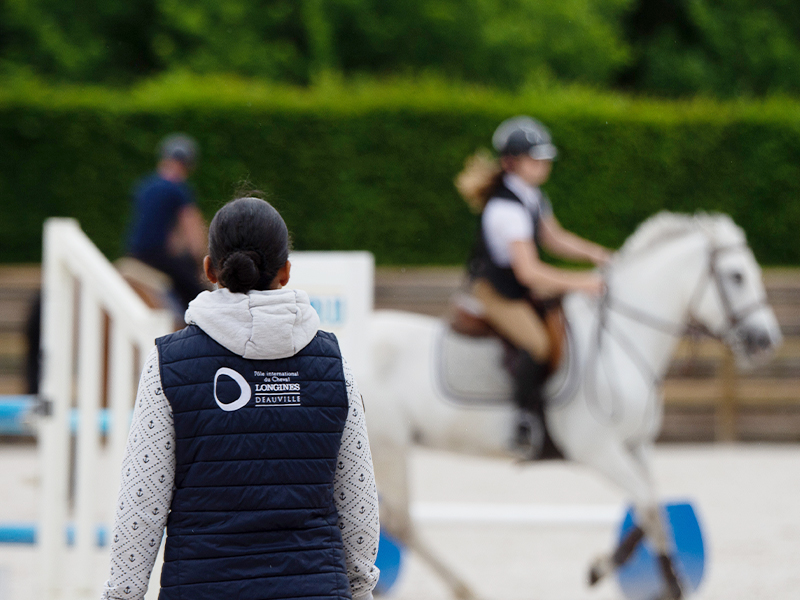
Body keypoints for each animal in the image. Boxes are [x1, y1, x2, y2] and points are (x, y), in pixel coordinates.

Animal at [366, 213, 784, 596]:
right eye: (736, 276)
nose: (766, 340)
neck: (620, 342)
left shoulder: (636, 446)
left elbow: (653, 506)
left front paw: (608, 569)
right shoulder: (598, 451)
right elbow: (649, 506)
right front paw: (664, 585)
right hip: (389, 448)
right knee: (400, 522)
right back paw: (464, 589)